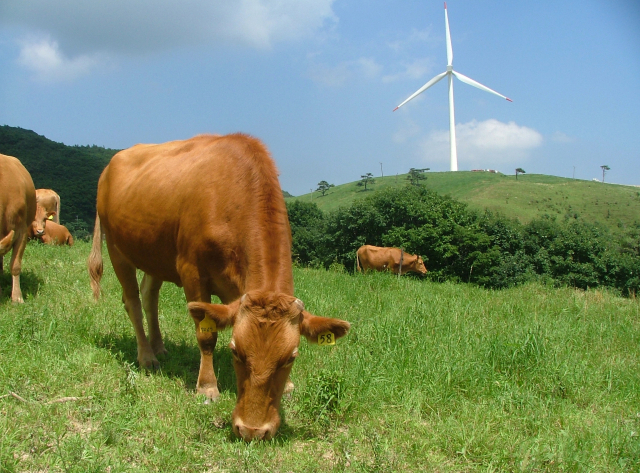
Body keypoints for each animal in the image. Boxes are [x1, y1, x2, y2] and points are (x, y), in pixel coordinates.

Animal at [86, 134, 350, 442]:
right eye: (235, 352)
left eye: (290, 358)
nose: (252, 430)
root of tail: (110, 165)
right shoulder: (191, 271)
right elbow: (206, 335)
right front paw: (207, 386)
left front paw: (287, 386)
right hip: (118, 249)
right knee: (133, 301)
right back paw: (147, 356)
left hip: (156, 255)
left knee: (150, 295)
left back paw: (159, 347)